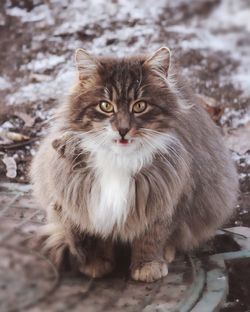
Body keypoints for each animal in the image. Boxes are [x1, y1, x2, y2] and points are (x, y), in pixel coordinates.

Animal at [31, 47, 238, 282]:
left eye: (140, 106)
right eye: (106, 106)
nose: (122, 129)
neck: (119, 161)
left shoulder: (167, 198)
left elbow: (152, 238)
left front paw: (148, 267)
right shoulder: (91, 201)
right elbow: (100, 237)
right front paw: (98, 264)